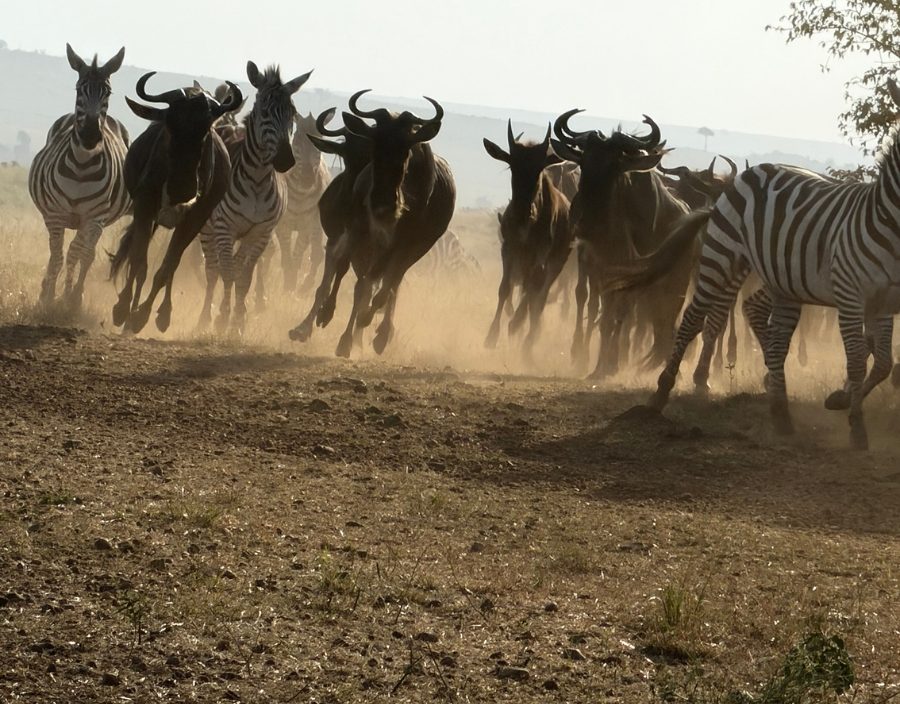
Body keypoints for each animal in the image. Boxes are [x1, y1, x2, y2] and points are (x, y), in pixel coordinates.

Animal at [27, 43, 129, 307]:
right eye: (79, 89)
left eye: (108, 92)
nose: (91, 135)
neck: (81, 166)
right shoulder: (55, 215)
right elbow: (57, 256)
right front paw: (47, 297)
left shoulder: (92, 218)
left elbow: (76, 254)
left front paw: (68, 297)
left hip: (97, 223)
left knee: (86, 254)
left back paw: (73, 293)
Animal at [197, 62, 312, 333]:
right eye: (264, 111)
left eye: (292, 113)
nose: (285, 160)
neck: (258, 181)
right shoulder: (225, 227)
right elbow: (227, 273)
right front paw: (222, 318)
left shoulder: (261, 232)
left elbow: (244, 276)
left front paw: (238, 320)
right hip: (208, 226)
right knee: (212, 270)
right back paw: (204, 318)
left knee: (233, 266)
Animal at [606, 77, 900, 450]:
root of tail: (751, 173)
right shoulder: (851, 296)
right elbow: (860, 360)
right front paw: (857, 429)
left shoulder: (884, 302)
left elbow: (882, 362)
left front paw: (841, 399)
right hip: (722, 259)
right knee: (693, 319)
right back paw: (661, 393)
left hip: (781, 279)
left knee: (766, 324)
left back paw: (779, 407)